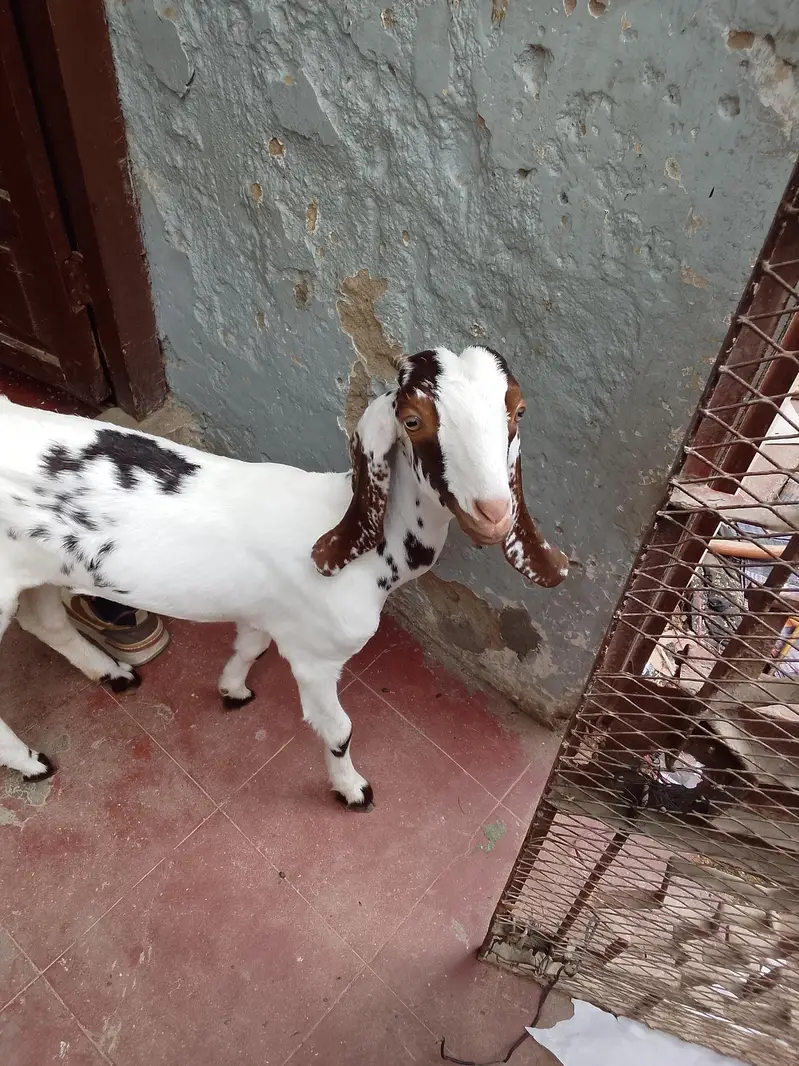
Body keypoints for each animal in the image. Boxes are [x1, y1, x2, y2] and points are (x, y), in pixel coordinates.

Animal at [0, 346, 568, 808]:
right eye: (412, 420)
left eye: (518, 411)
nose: (493, 514)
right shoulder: (316, 657)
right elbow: (338, 729)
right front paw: (351, 788)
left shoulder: (268, 614)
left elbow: (250, 647)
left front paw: (232, 689)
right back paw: (32, 763)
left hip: (43, 568)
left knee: (44, 621)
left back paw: (110, 673)